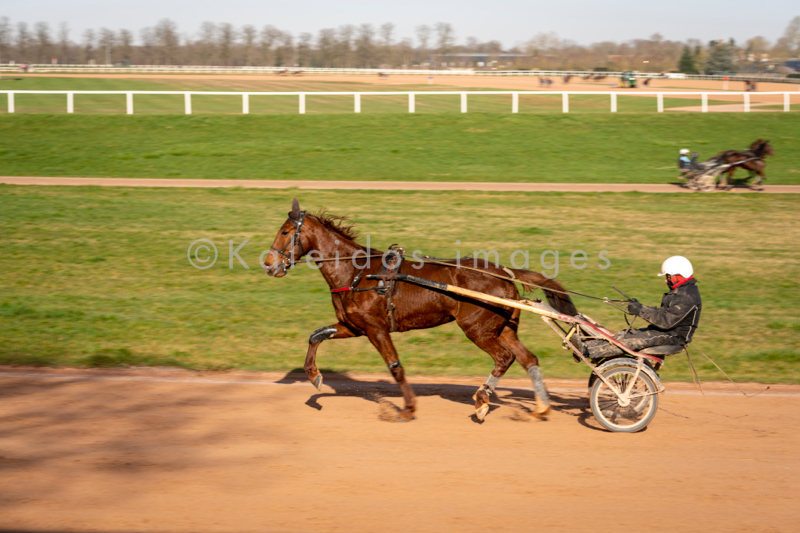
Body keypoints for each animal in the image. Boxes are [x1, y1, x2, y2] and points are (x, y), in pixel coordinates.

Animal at [266, 198, 580, 420]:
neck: (357, 273)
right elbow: (316, 335)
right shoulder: (355, 326)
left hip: (477, 328)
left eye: (285, 232)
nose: (269, 264)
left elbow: (395, 367)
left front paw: (408, 408)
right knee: (528, 359)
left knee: (504, 358)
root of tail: (504, 272)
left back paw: (482, 401)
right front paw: (314, 376)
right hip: (502, 328)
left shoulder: (376, 329)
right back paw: (539, 408)